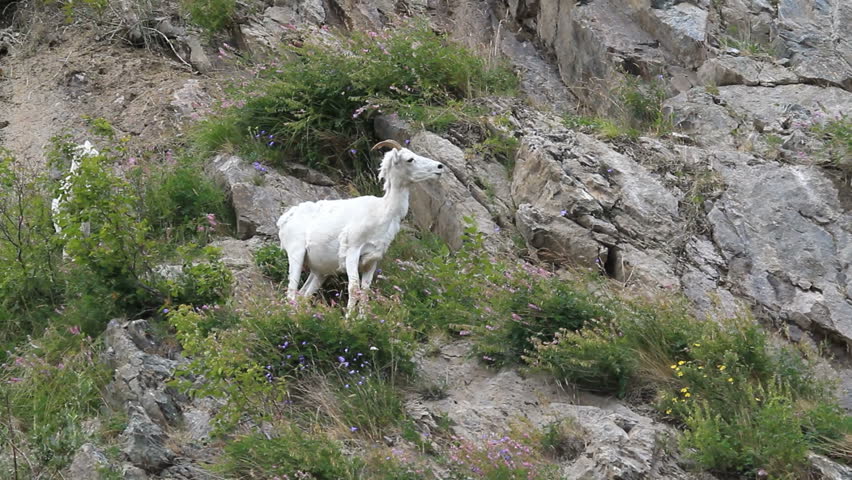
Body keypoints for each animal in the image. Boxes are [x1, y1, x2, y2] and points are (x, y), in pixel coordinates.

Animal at [277, 139, 445, 312]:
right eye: (410, 159)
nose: (439, 167)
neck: (382, 213)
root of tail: (285, 219)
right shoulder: (352, 253)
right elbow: (354, 289)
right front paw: (349, 318)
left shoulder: (372, 261)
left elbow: (365, 292)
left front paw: (362, 317)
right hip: (296, 254)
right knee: (291, 292)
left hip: (319, 272)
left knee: (303, 295)